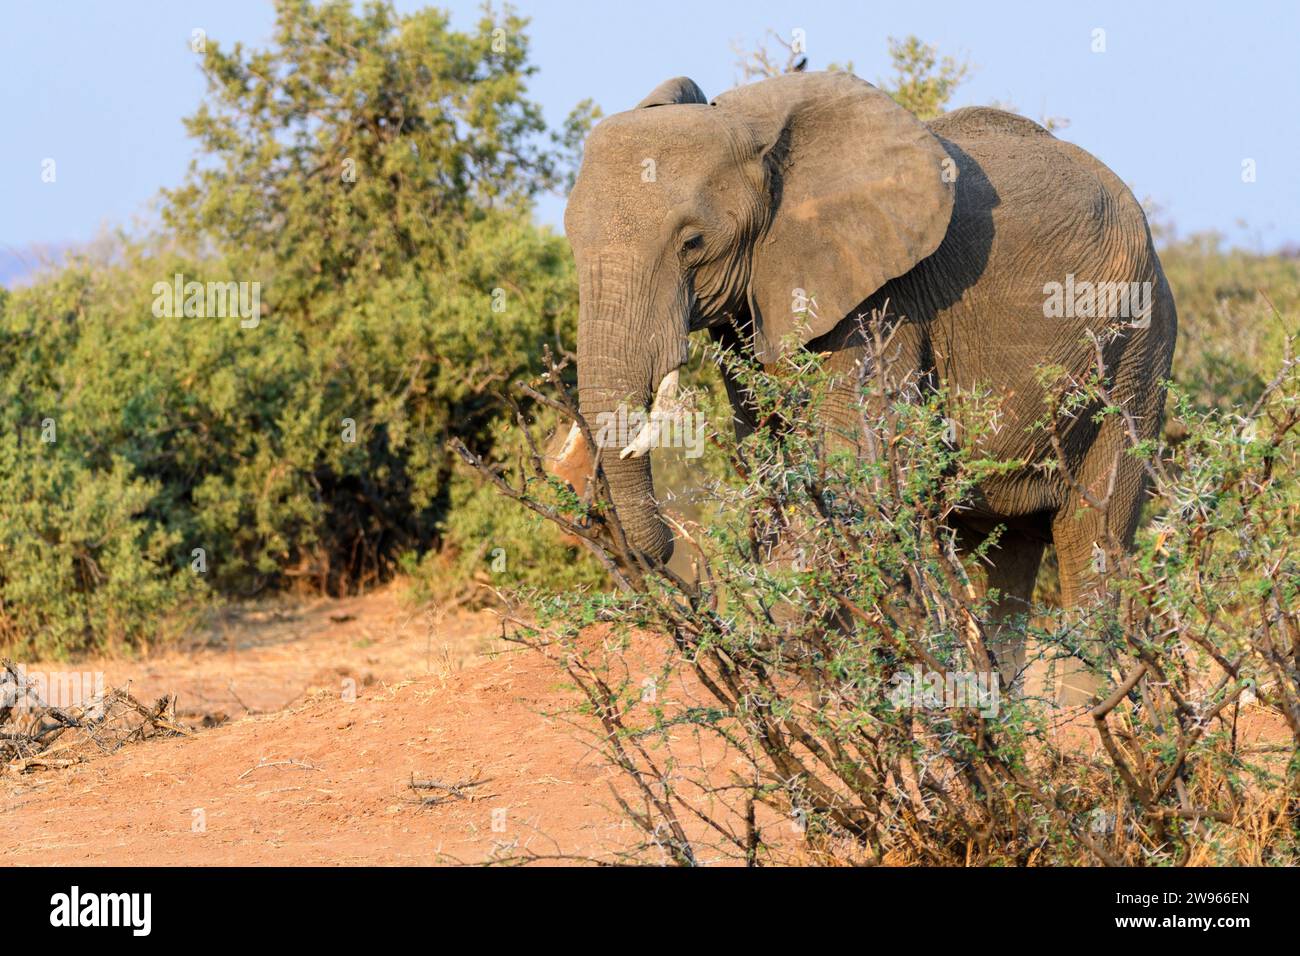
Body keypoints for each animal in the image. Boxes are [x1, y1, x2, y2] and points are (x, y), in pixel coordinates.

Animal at [559, 70, 1180, 691]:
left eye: (692, 243)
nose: (670, 550)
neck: (755, 134)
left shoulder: (886, 302)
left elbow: (849, 457)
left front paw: (811, 663)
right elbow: (769, 457)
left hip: (1137, 348)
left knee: (1090, 532)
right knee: (1001, 549)